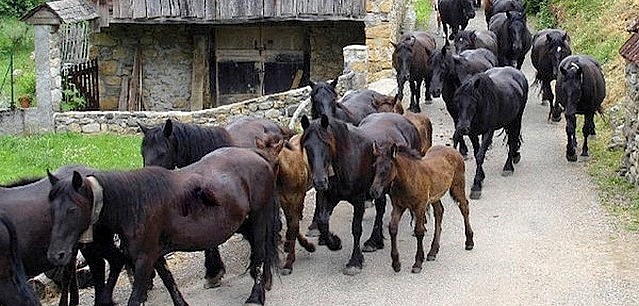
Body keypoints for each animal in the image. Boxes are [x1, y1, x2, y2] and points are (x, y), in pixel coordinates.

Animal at [302, 113, 422, 274]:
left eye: (327, 144)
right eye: (307, 147)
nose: (320, 181)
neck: (346, 160)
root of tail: (407, 121)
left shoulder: (359, 199)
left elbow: (356, 229)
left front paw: (355, 261)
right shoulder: (330, 197)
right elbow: (322, 222)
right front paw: (334, 242)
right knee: (380, 208)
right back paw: (374, 241)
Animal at [456, 66, 528, 198]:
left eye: (473, 102)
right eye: (457, 101)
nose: (462, 128)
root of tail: (518, 73)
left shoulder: (488, 131)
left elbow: (480, 155)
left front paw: (476, 186)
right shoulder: (472, 133)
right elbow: (477, 153)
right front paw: (481, 177)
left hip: (517, 118)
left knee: (513, 139)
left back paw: (508, 167)